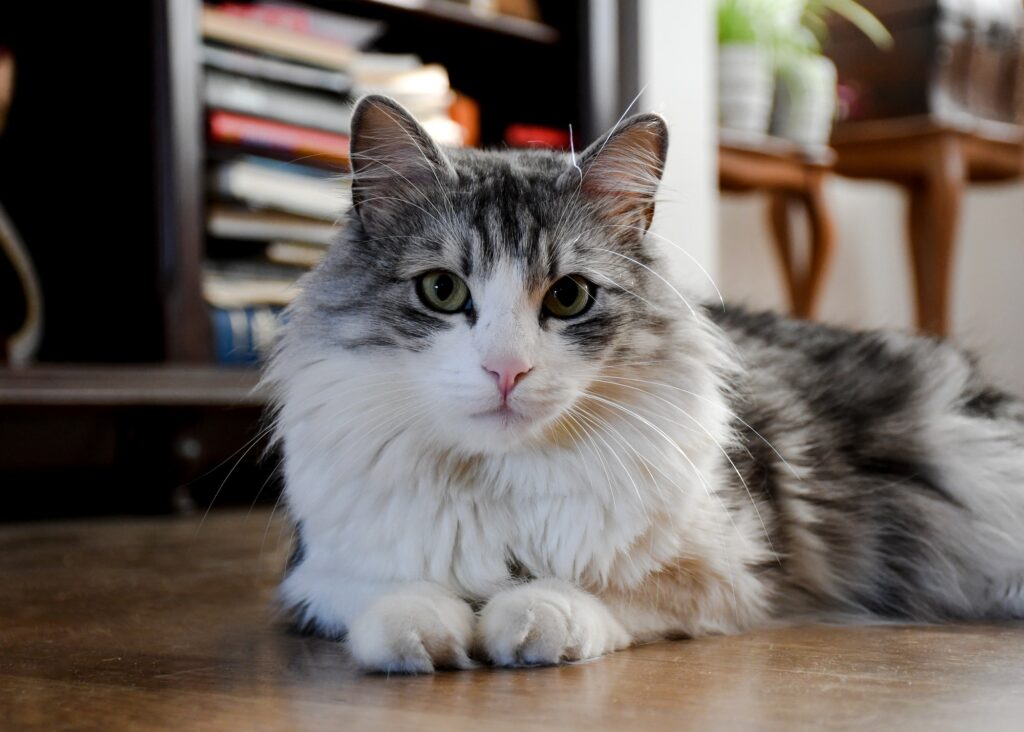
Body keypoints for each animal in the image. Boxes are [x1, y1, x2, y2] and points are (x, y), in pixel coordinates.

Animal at [264, 94, 1024, 671]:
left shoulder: (736, 574)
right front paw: (425, 631)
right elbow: (384, 597)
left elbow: (600, 595)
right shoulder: (314, 575)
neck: (503, 484)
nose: (507, 369)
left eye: (568, 297)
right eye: (442, 290)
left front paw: (527, 618)